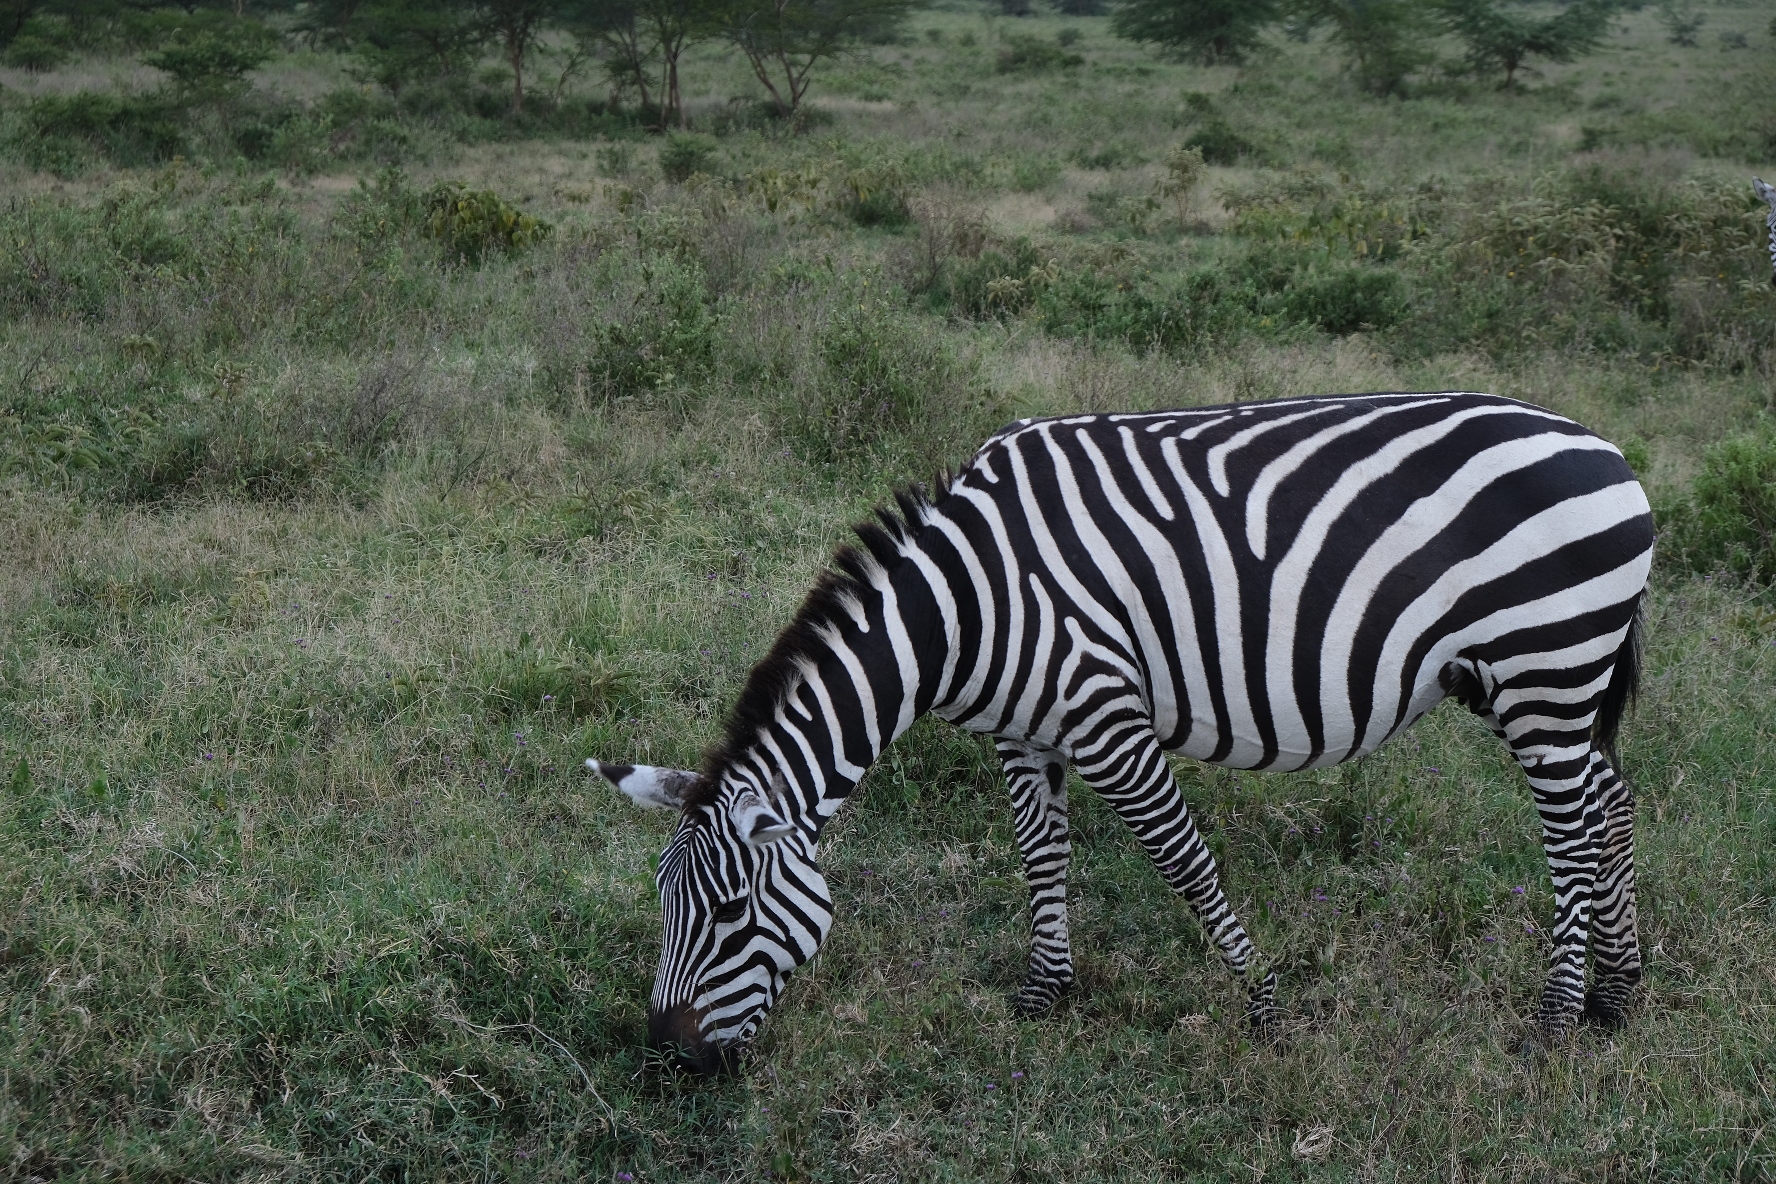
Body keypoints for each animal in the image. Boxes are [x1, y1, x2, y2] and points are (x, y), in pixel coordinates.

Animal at [593, 390, 1648, 1072]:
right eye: (663, 904)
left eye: (732, 915)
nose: (667, 1060)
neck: (963, 609)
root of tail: (1606, 450)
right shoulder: (1022, 734)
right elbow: (1042, 856)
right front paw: (1042, 997)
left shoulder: (1105, 716)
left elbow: (1185, 863)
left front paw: (1265, 1010)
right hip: (1525, 678)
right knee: (1611, 802)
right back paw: (1616, 997)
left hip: (1543, 663)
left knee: (1570, 831)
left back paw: (1553, 1022)